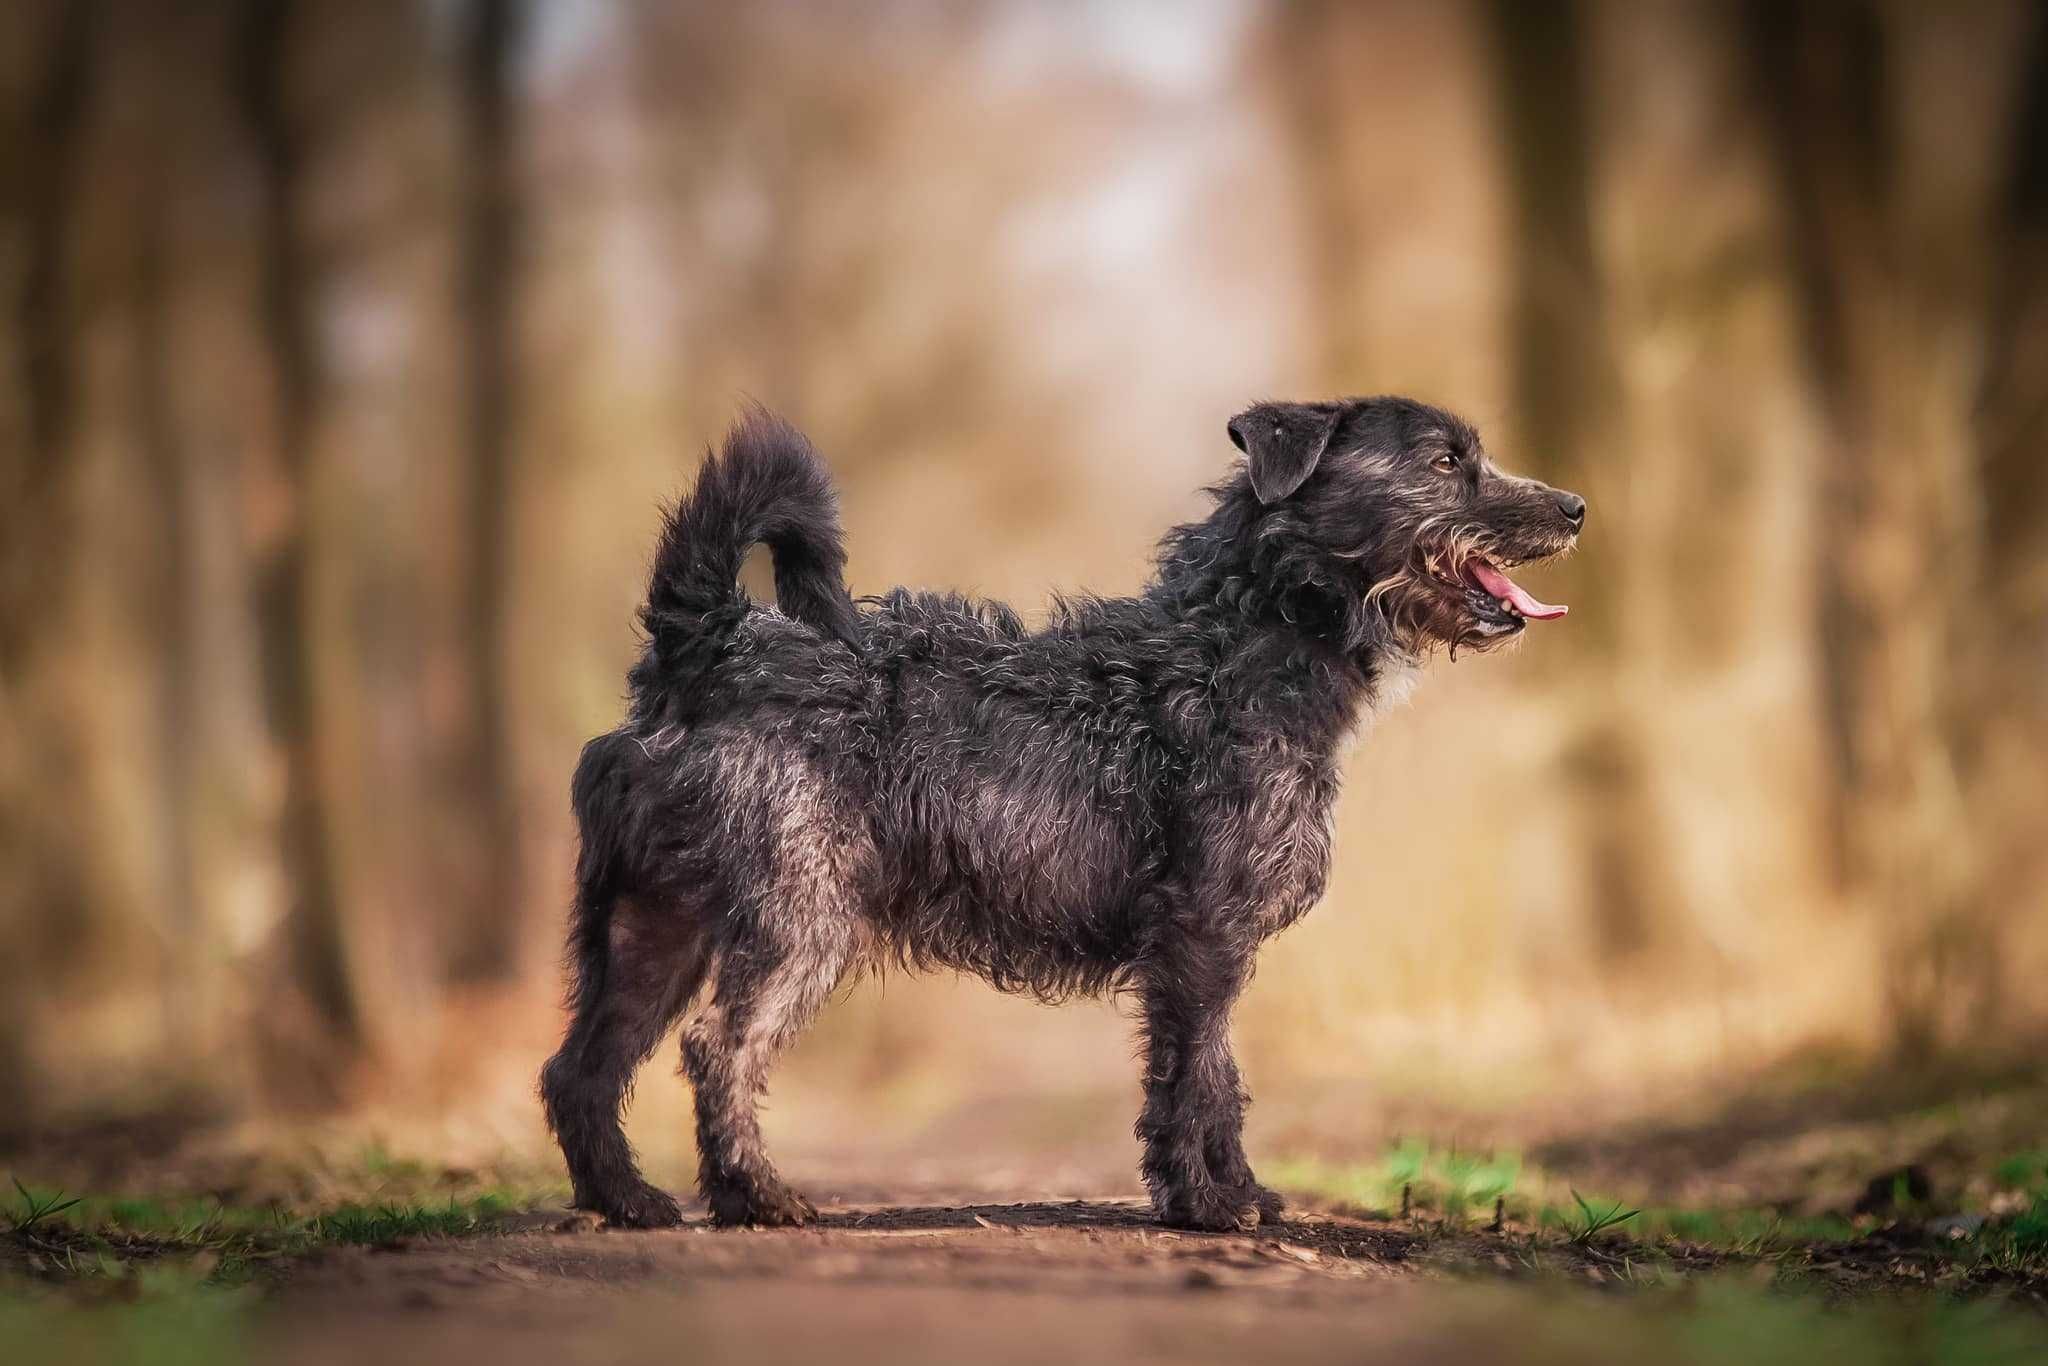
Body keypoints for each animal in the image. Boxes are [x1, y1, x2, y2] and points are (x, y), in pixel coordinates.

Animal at [540, 397, 1581, 1236]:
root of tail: (706, 642)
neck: (1241, 645)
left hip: (650, 925)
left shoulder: (1200, 948)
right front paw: (1210, 1207)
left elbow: (1210, 1078)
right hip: (800, 918)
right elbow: (1200, 1076)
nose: (1575, 507)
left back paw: (626, 1202)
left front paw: (1229, 1193)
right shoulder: (1201, 935)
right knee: (719, 1048)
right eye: (1445, 461)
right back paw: (756, 1197)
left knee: (580, 1068)